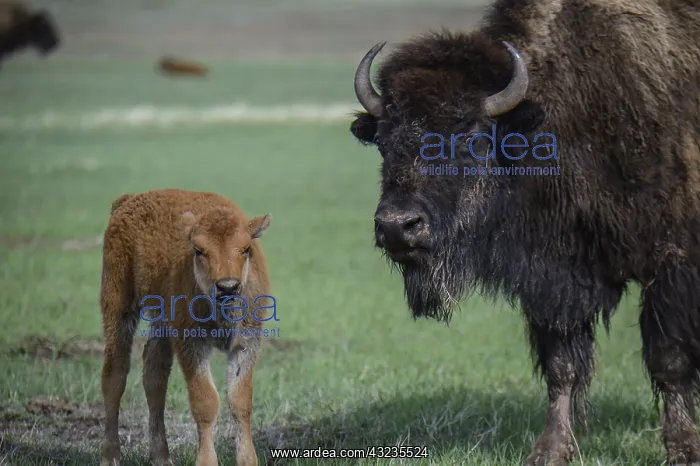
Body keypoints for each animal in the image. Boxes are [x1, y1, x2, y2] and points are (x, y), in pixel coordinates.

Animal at [99, 189, 272, 466]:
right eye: (199, 250)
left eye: (246, 248)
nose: (228, 286)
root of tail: (127, 200)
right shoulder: (191, 343)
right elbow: (206, 401)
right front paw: (206, 461)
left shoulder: (246, 344)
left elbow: (240, 400)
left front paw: (248, 460)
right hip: (118, 305)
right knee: (115, 374)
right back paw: (111, 456)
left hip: (160, 322)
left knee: (155, 376)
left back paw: (161, 457)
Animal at [349, 0, 700, 464]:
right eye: (384, 140)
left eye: (470, 135)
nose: (397, 226)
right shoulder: (556, 279)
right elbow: (561, 367)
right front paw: (549, 450)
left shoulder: (673, 263)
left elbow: (670, 357)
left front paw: (683, 447)